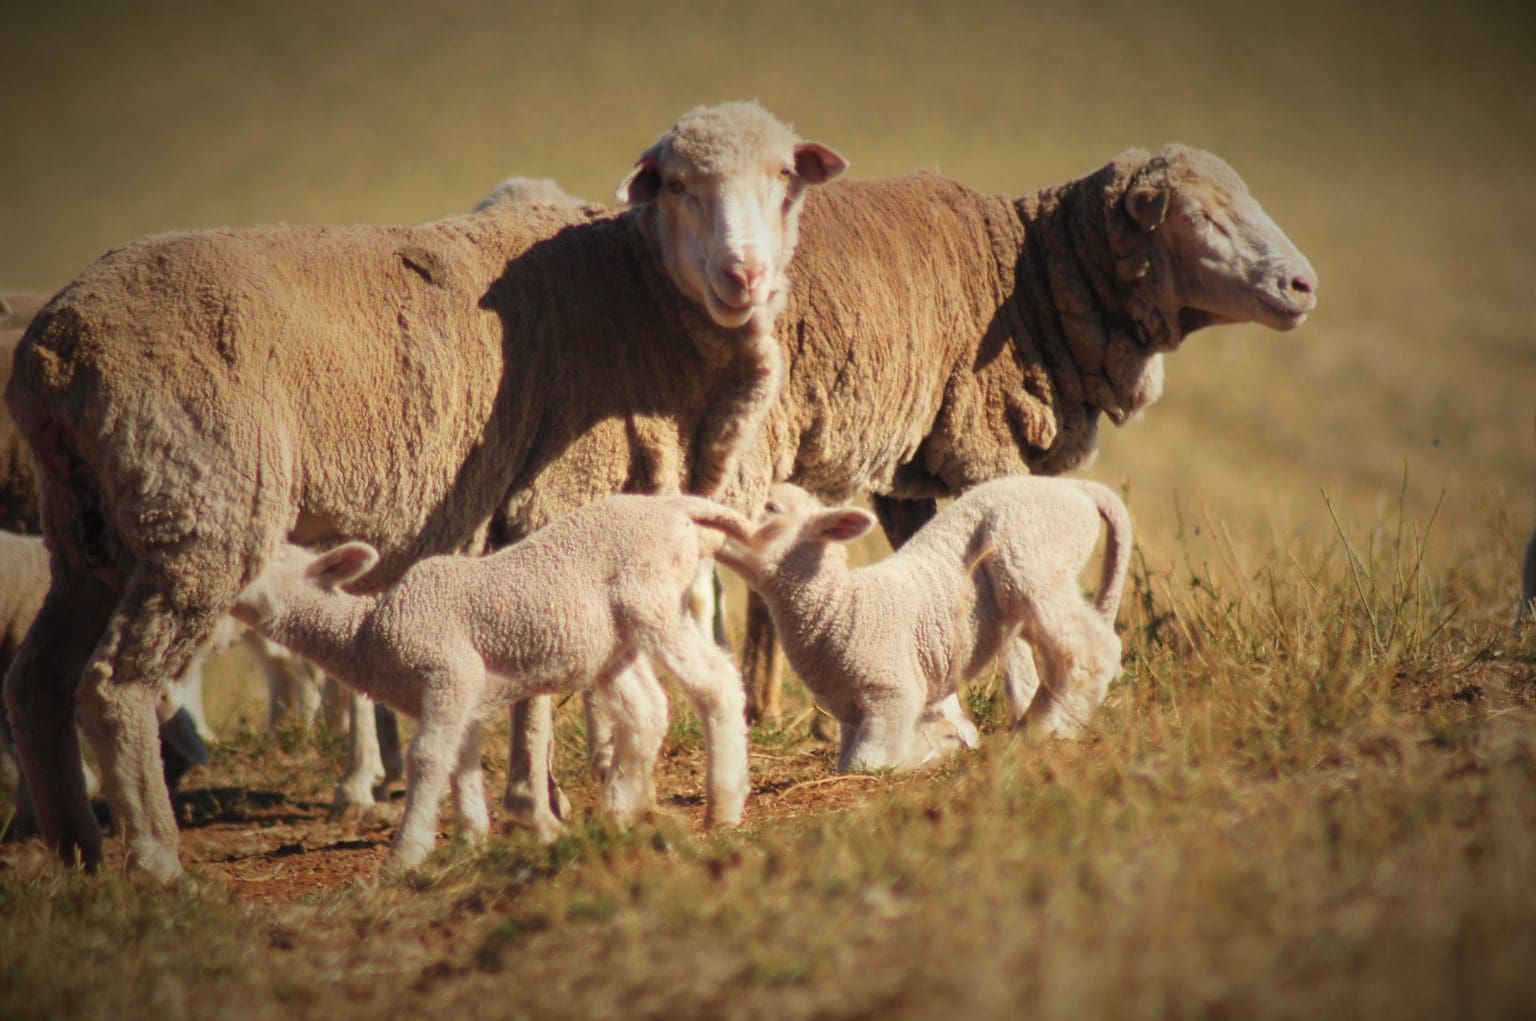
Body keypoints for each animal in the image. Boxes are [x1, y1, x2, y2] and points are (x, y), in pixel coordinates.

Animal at [229, 493, 752, 869]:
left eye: (262, 563)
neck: (366, 632)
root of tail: (675, 507)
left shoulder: (448, 669)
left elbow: (426, 758)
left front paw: (405, 855)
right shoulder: (463, 696)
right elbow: (461, 764)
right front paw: (472, 841)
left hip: (652, 599)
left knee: (716, 685)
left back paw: (723, 807)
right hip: (615, 643)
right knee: (646, 710)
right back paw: (615, 813)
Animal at [713, 477, 1131, 771]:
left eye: (771, 507)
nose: (712, 518)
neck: (842, 608)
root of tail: (1076, 488)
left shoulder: (892, 695)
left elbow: (863, 764)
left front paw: (931, 750)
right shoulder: (850, 713)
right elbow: (847, 761)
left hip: (1032, 555)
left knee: (1090, 650)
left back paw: (1047, 729)